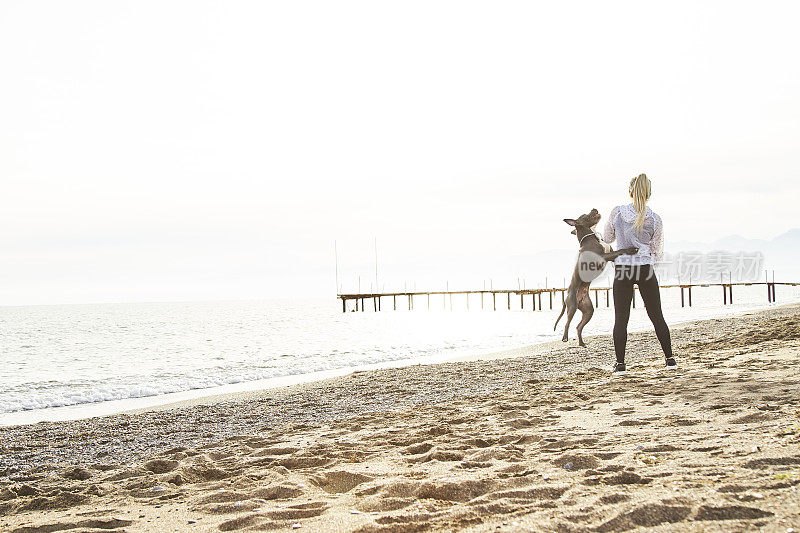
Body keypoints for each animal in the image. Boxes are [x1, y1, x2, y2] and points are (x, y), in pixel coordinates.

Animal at [552, 206, 640, 348]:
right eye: (585, 215)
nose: (594, 208)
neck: (592, 237)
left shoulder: (610, 254)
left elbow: (617, 253)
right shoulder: (604, 256)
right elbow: (620, 251)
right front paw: (631, 249)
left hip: (588, 310)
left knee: (578, 326)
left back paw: (581, 342)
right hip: (572, 306)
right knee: (567, 323)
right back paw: (565, 337)